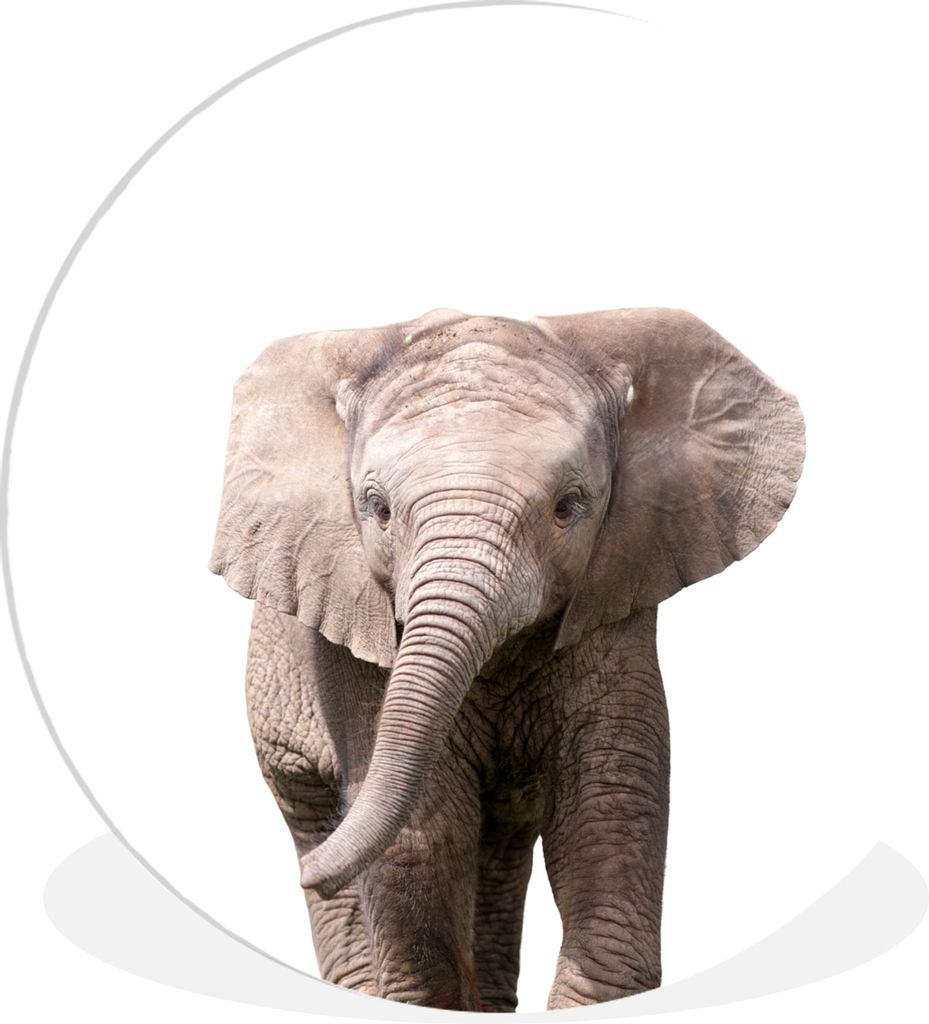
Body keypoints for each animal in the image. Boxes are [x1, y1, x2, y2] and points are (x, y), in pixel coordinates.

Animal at [209, 307, 804, 1011]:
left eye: (569, 506)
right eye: (377, 510)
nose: (309, 877)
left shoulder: (613, 604)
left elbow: (608, 805)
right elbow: (424, 829)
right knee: (324, 820)